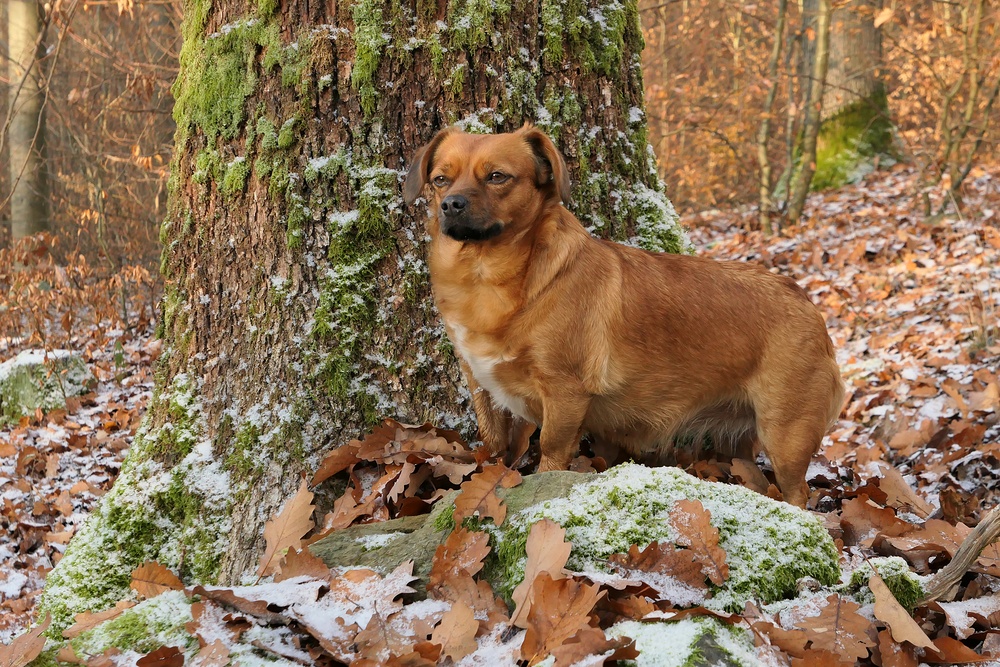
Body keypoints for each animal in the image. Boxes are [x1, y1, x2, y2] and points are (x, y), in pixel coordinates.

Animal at [402, 124, 840, 506]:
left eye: (496, 177)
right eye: (440, 180)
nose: (451, 205)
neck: (486, 276)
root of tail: (805, 301)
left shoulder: (564, 397)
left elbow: (550, 455)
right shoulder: (481, 385)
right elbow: (492, 444)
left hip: (784, 434)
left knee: (798, 492)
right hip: (738, 443)